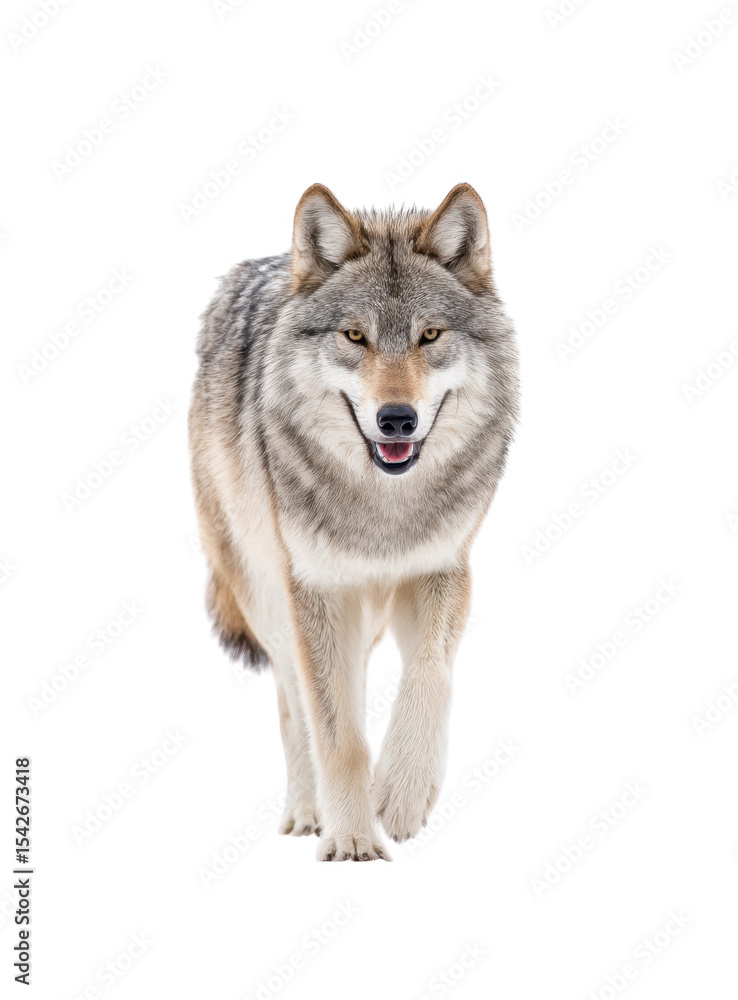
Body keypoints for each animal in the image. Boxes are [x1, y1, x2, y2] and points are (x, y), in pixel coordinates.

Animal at [188, 182, 519, 861]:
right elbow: (333, 731)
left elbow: (430, 674)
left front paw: (401, 792)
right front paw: (350, 843)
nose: (396, 418)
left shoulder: (443, 568)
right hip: (267, 598)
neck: (383, 508)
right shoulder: (314, 590)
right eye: (354, 336)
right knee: (295, 707)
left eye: (429, 334)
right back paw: (309, 813)